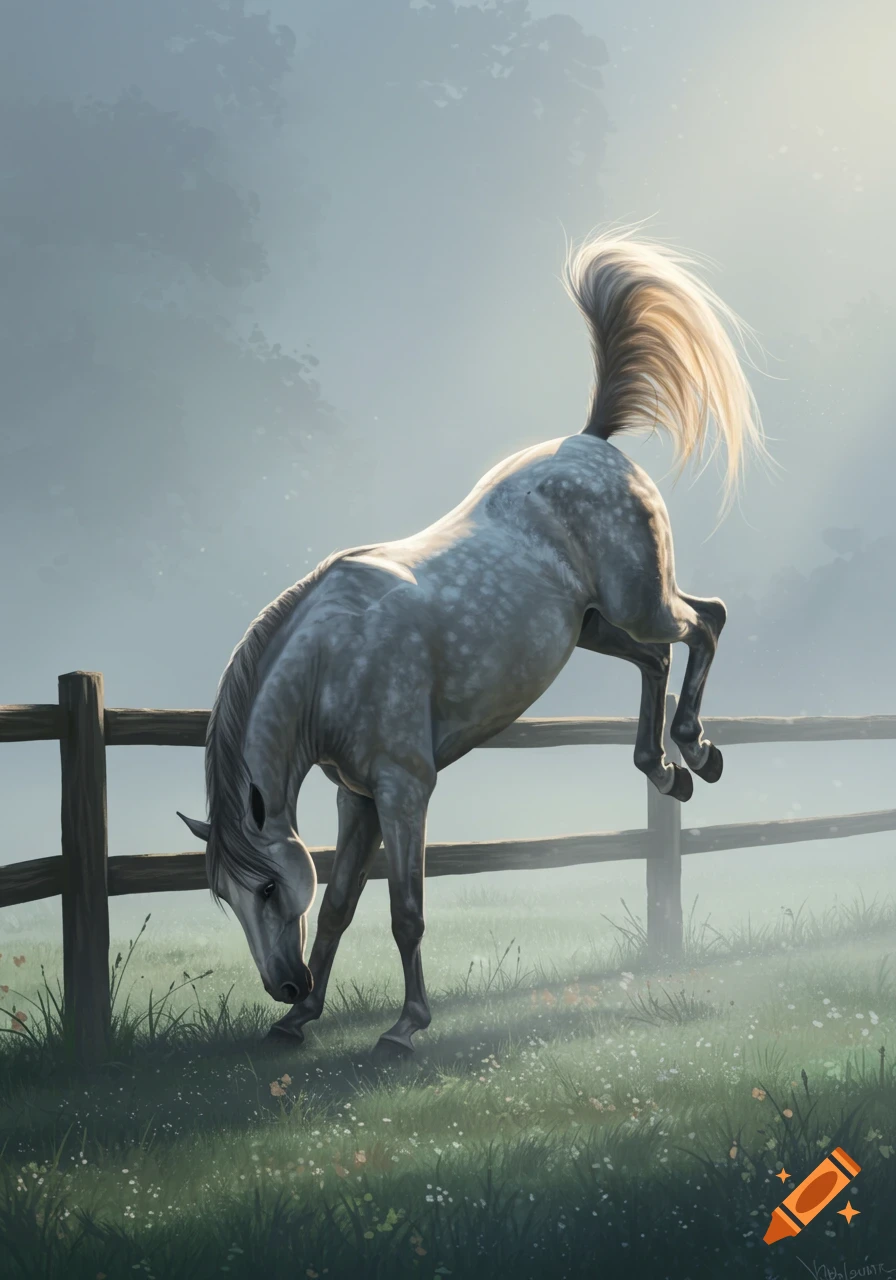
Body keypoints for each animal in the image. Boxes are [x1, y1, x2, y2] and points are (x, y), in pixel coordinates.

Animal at [177, 228, 766, 1054]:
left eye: (264, 885)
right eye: (223, 896)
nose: (281, 985)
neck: (332, 660)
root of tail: (589, 441)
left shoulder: (404, 790)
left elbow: (405, 911)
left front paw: (404, 1027)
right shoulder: (358, 798)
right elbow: (338, 905)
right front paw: (301, 1019)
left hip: (641, 601)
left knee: (705, 621)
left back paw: (699, 751)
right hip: (592, 627)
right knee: (657, 658)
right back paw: (666, 771)